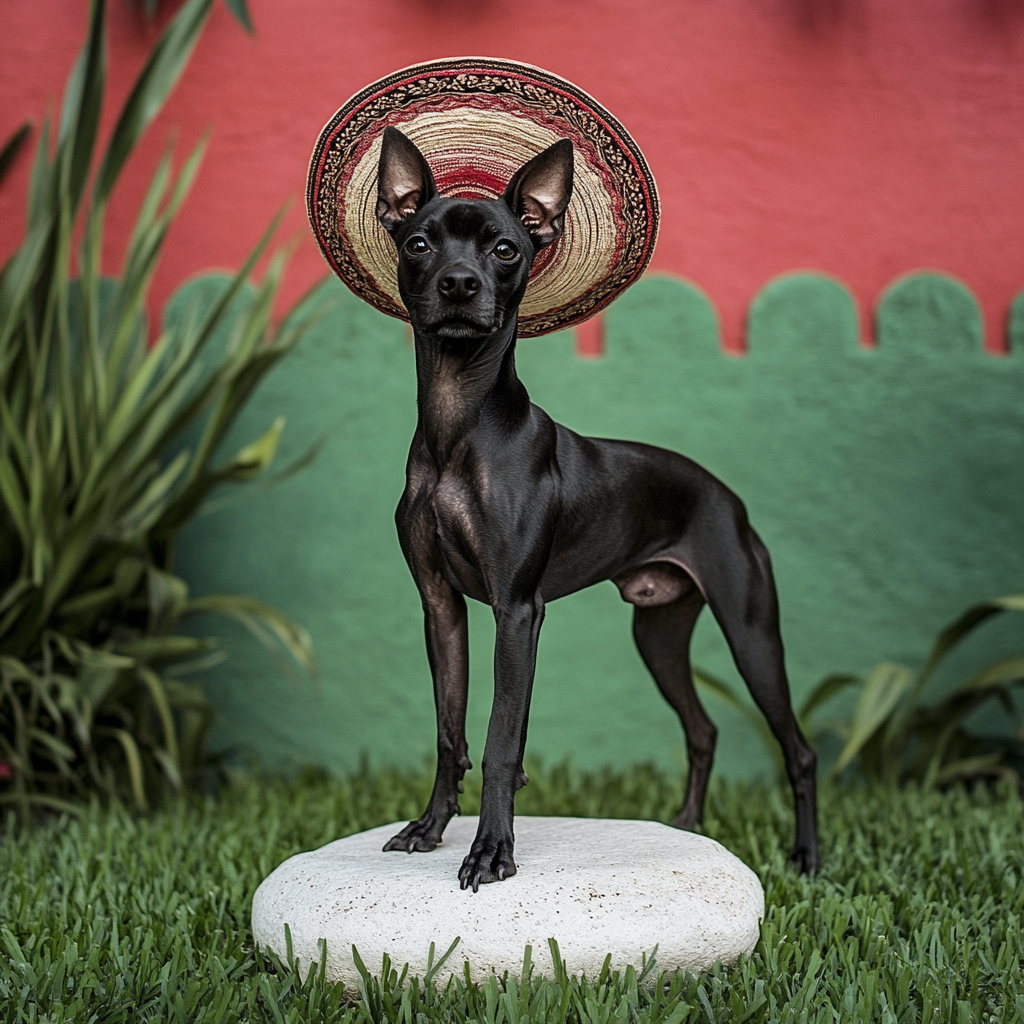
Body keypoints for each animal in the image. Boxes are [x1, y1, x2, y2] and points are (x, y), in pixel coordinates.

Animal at [372, 128, 819, 892]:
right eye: (421, 243)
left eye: (504, 249)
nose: (459, 285)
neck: (458, 426)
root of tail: (724, 494)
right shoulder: (441, 607)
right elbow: (449, 731)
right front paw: (429, 829)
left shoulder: (518, 611)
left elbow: (500, 739)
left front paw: (490, 852)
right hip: (659, 634)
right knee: (703, 728)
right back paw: (688, 825)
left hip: (751, 631)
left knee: (799, 748)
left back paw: (809, 858)